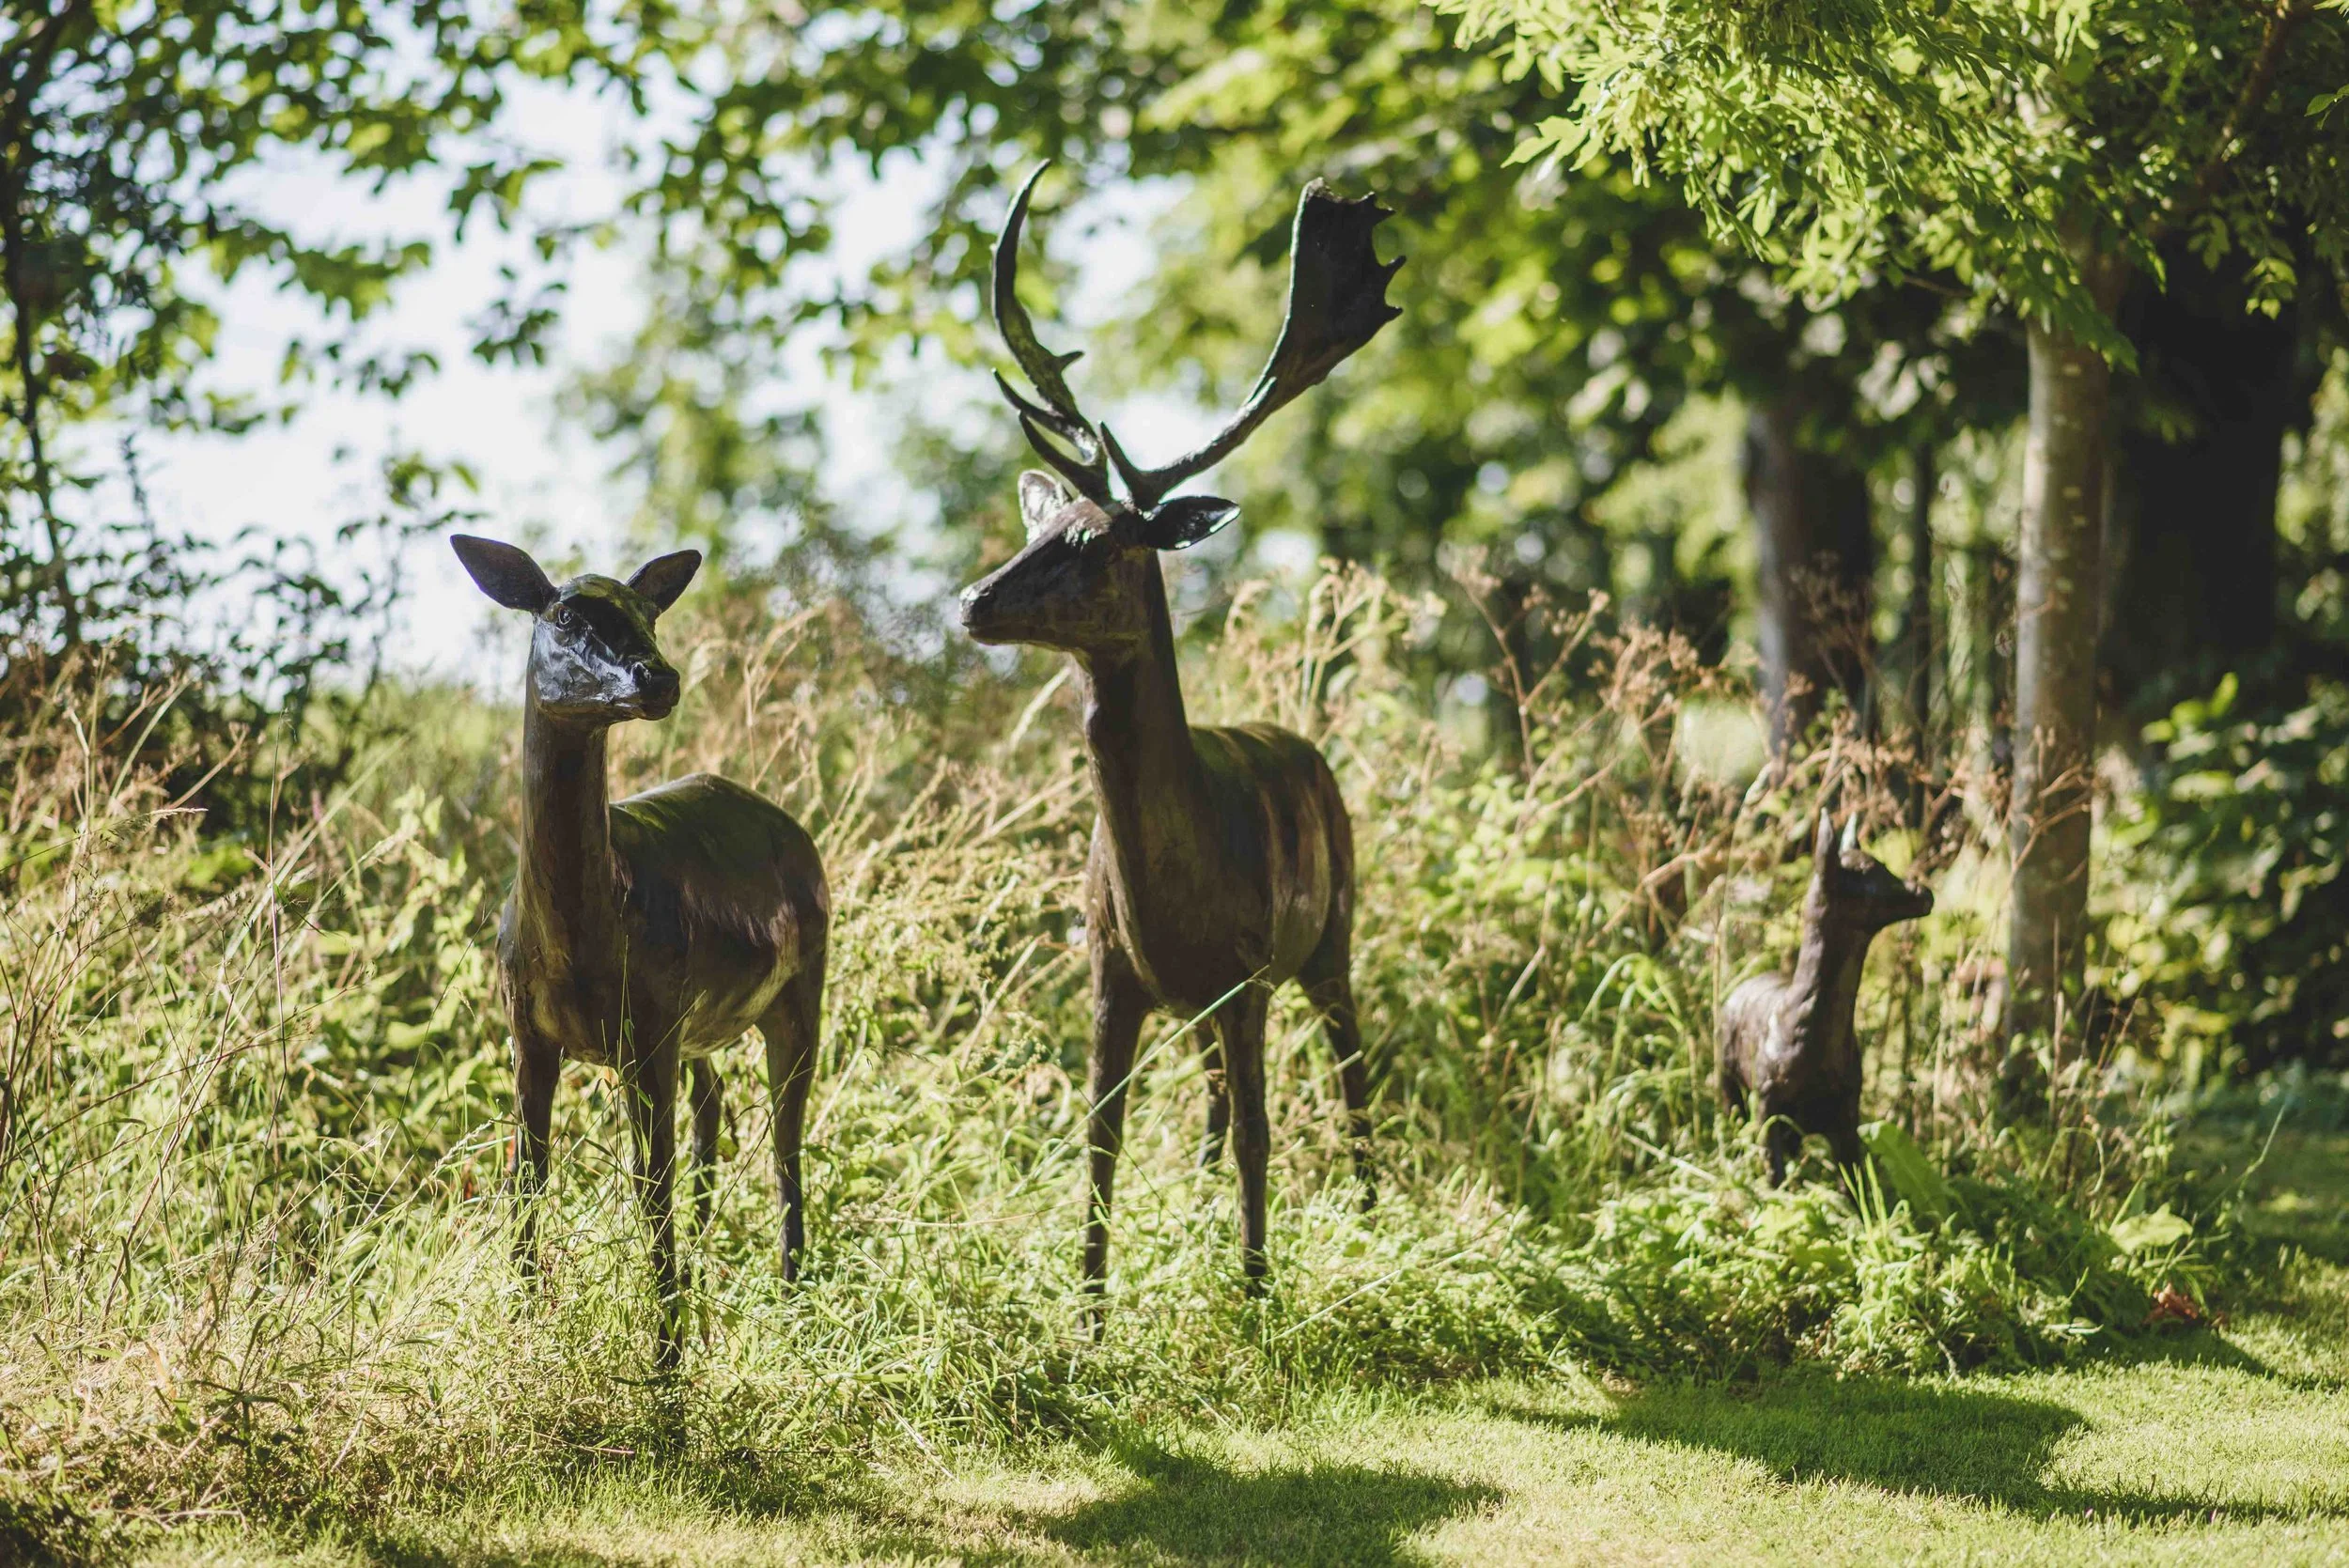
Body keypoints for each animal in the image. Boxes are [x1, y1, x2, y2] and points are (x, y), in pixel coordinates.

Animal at [450, 535, 828, 1368]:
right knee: (716, 1105)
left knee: (785, 1143)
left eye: (648, 613)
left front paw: (664, 1365)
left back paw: (789, 1303)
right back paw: (716, 1267)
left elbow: (648, 1189)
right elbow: (529, 1172)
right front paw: (525, 1320)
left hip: (800, 990)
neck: (578, 940)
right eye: (563, 613)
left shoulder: (645, 1027)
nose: (658, 676)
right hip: (698, 1025)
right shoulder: (529, 1028)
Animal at [957, 165, 1403, 1313]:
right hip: (1204, 1001)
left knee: (1348, 1073)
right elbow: (1099, 1143)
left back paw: (1373, 1214)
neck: (1175, 889)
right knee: (1209, 1100)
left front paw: (1257, 1295)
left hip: (1331, 933)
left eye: (1099, 542)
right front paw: (1087, 1308)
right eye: (1034, 524)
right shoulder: (1111, 973)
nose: (974, 600)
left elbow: (1261, 1136)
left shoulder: (1248, 968)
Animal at [1717, 810, 1933, 1186]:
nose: (1925, 892)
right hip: (1726, 1074)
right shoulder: (1768, 1101)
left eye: (1885, 868)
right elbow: (1774, 1174)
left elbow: (1857, 1182)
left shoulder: (1846, 1114)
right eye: (1869, 878)